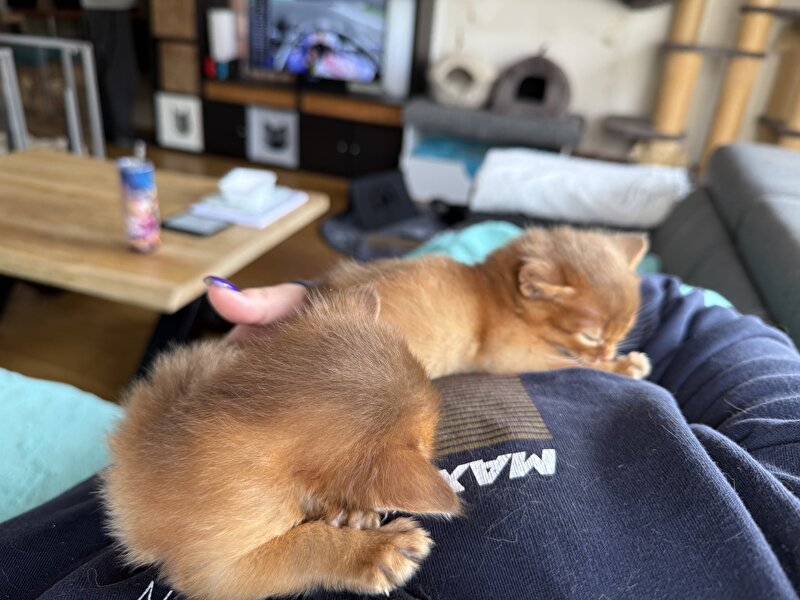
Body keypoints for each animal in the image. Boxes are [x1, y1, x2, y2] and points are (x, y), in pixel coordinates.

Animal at [321, 226, 651, 380]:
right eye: (590, 336)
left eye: (623, 332)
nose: (610, 350)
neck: (495, 288)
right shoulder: (509, 357)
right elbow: (575, 363)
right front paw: (623, 366)